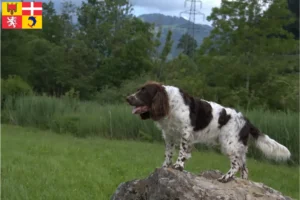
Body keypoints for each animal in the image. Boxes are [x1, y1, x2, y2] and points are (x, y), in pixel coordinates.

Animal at [126, 81, 290, 181]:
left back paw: (225, 178)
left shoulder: (186, 133)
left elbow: (182, 152)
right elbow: (168, 154)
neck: (170, 103)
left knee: (236, 165)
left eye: (144, 91)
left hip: (229, 144)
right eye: (138, 90)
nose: (127, 98)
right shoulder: (169, 135)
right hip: (239, 147)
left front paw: (178, 166)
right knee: (244, 167)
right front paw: (165, 167)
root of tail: (247, 121)